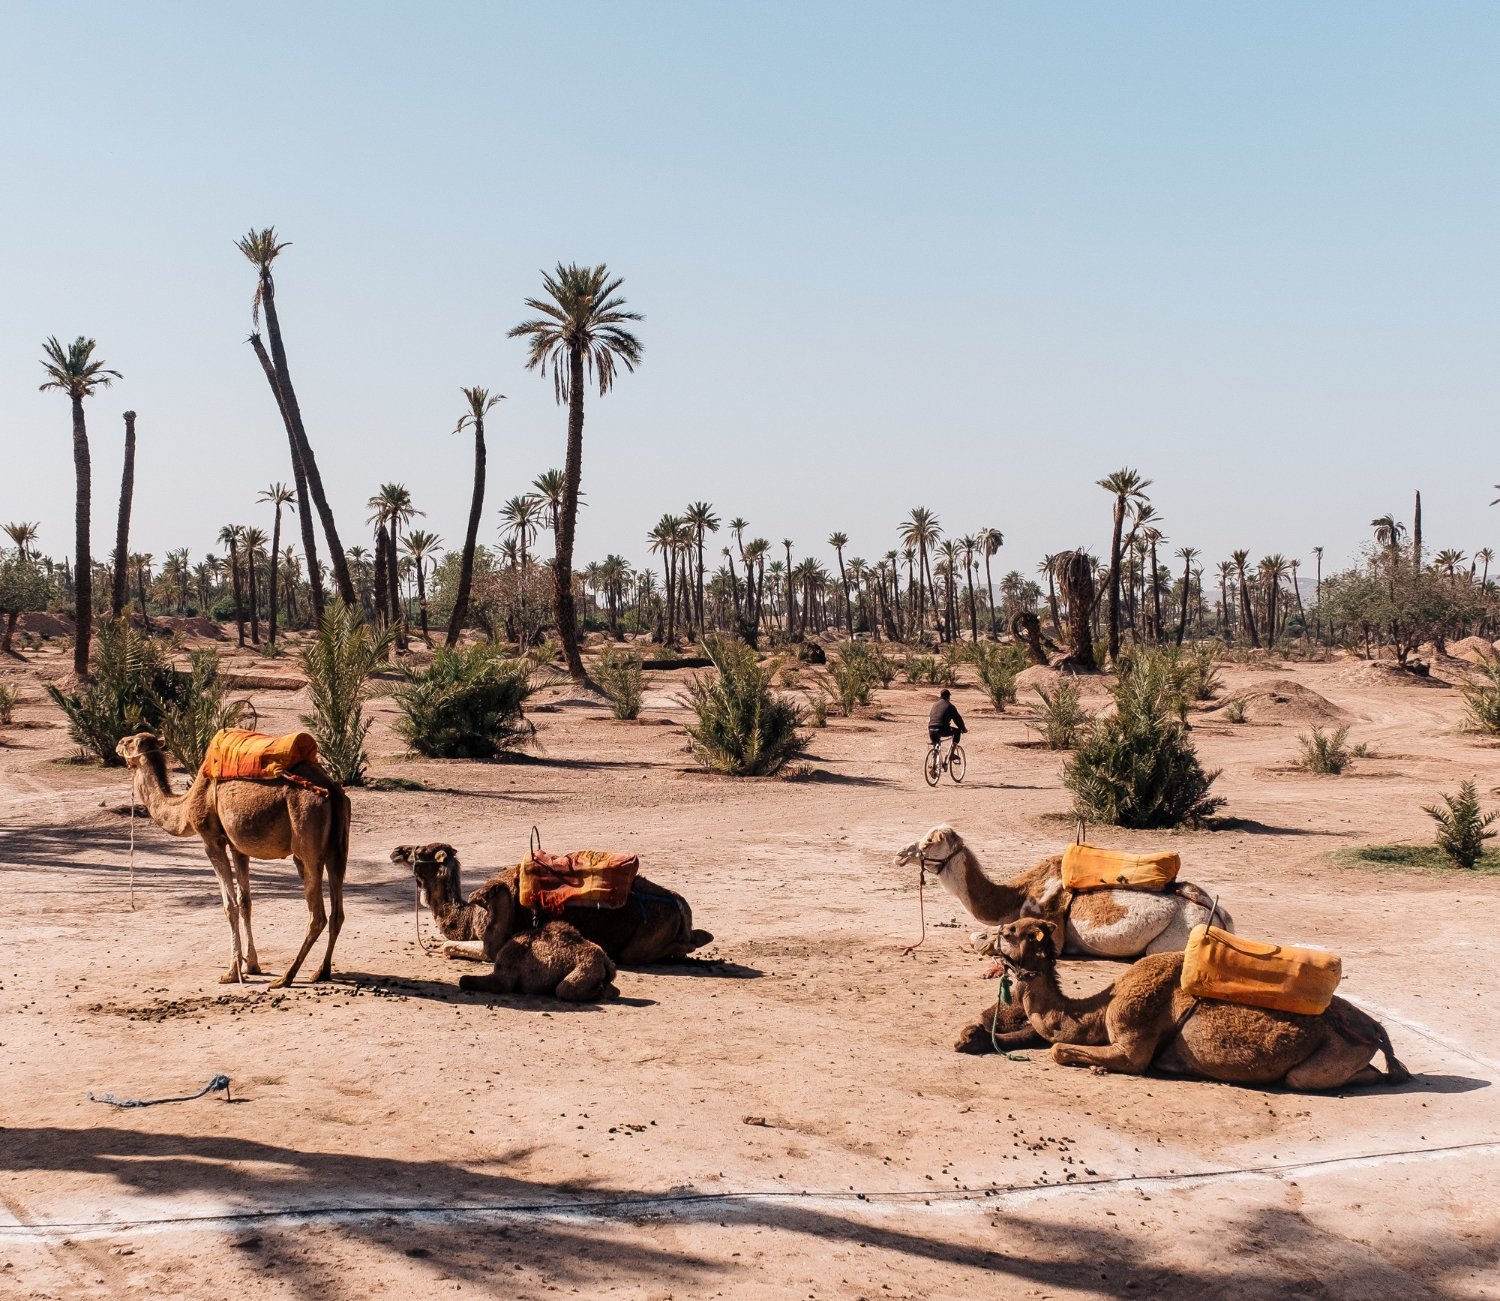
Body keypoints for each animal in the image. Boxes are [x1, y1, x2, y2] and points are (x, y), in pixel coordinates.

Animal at [117, 732, 351, 984]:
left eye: (129, 742)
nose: (118, 745)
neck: (186, 806)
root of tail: (331, 790)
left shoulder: (212, 840)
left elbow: (229, 905)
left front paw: (231, 972)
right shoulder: (238, 847)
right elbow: (245, 901)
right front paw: (252, 965)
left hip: (307, 841)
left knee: (317, 915)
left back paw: (286, 978)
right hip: (338, 848)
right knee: (337, 912)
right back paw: (321, 971)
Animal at [390, 846, 711, 966]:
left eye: (419, 850)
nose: (396, 851)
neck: (467, 915)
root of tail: (680, 905)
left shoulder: (492, 944)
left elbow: (447, 947)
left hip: (641, 944)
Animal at [888, 828, 1230, 960]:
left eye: (930, 841)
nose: (900, 854)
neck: (1016, 895)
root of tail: (1220, 917)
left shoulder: (1049, 931)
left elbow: (984, 940)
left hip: (1173, 938)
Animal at [996, 918, 1404, 1092]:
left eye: (1010, 932)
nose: (988, 935)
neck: (1100, 1007)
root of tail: (1376, 1030)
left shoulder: (1132, 1041)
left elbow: (1060, 1050)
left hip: (1332, 1057)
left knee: (1312, 1078)